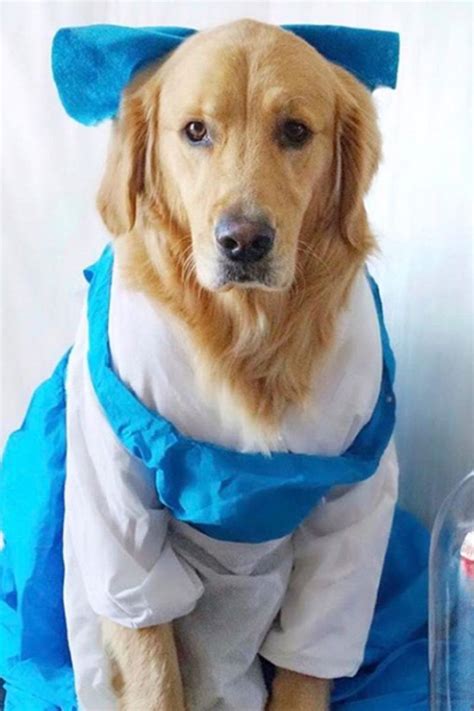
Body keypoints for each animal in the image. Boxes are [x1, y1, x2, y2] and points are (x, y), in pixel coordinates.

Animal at [97, 16, 382, 711]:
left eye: (296, 131)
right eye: (196, 131)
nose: (243, 242)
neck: (247, 332)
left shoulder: (353, 506)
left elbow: (312, 658)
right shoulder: (120, 525)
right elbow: (153, 667)